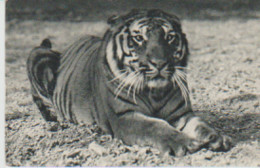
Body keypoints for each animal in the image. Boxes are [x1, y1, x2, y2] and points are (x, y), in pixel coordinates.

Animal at [27, 8, 233, 156]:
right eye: (139, 38)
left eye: (169, 37)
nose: (159, 63)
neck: (155, 92)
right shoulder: (123, 116)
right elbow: (155, 126)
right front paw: (184, 143)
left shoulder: (180, 113)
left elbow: (200, 124)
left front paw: (217, 137)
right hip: (39, 58)